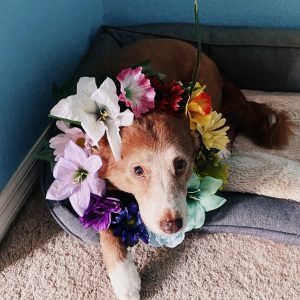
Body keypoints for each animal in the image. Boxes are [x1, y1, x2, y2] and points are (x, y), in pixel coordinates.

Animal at [82, 38, 290, 298]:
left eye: (180, 164)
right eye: (138, 171)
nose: (172, 225)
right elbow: (107, 227)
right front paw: (124, 278)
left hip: (206, 92)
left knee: (226, 121)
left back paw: (221, 148)